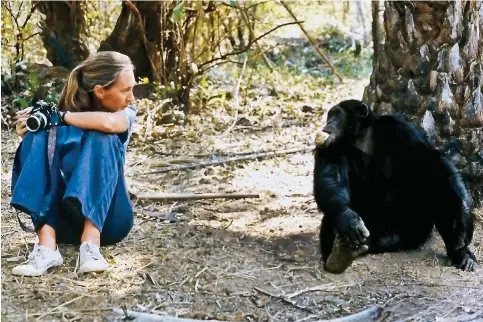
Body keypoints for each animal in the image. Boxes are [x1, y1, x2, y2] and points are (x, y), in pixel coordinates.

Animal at [314, 99, 476, 272]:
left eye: (337, 114)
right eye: (330, 116)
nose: (328, 122)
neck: (361, 139)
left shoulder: (402, 129)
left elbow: (433, 163)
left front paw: (463, 217)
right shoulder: (328, 146)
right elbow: (330, 179)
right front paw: (348, 219)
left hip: (415, 227)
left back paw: (461, 253)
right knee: (334, 213)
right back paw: (338, 255)